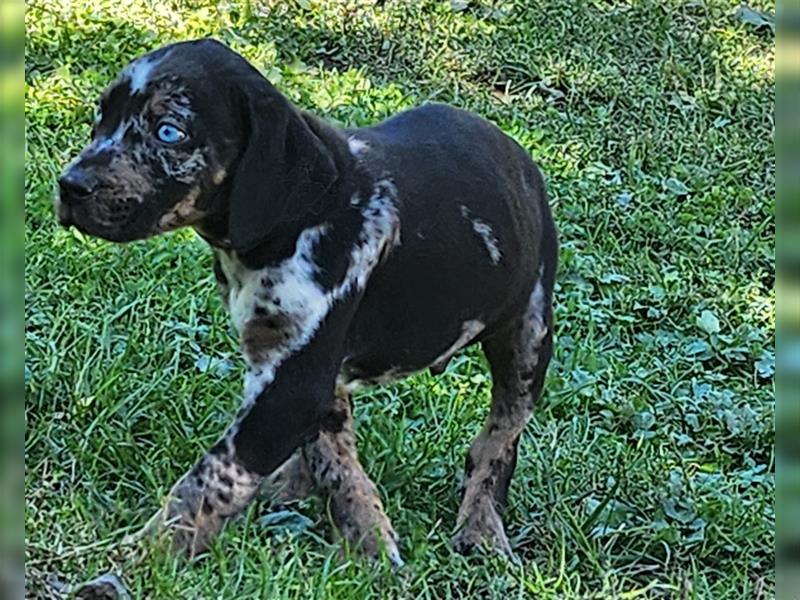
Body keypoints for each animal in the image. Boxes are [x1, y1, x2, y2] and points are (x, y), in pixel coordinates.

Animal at [57, 39, 556, 564]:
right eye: (99, 119)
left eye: (169, 132)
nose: (69, 186)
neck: (298, 216)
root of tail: (522, 159)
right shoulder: (291, 363)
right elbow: (333, 460)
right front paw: (369, 538)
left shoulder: (293, 386)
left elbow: (211, 479)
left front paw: (143, 553)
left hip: (527, 333)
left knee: (499, 437)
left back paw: (481, 526)